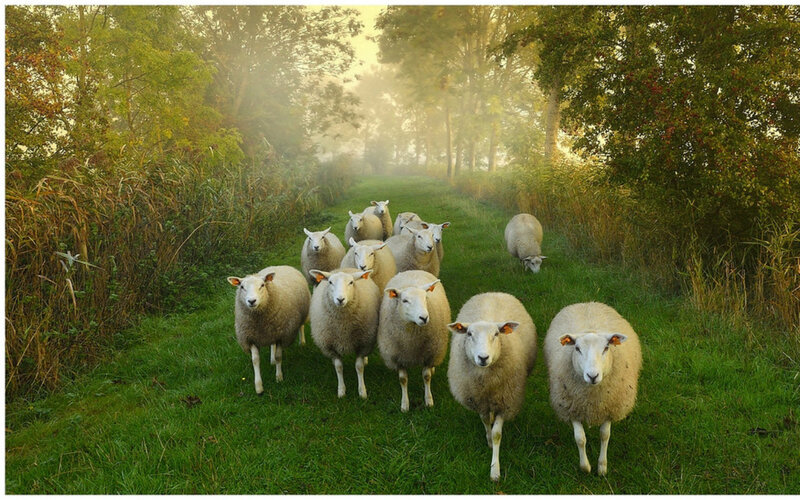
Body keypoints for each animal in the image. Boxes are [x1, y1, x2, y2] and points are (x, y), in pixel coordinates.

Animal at [226, 265, 310, 394]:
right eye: (242, 287)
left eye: (262, 285)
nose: (251, 301)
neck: (259, 321)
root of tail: (281, 266)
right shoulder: (250, 338)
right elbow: (255, 360)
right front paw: (259, 387)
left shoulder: (282, 335)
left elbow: (279, 357)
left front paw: (279, 377)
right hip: (271, 331)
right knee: (272, 344)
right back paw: (272, 359)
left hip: (302, 314)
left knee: (301, 326)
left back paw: (302, 343)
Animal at [308, 268, 381, 399]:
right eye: (330, 282)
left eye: (351, 282)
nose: (340, 299)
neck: (343, 329)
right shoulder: (331, 346)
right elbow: (338, 367)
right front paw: (341, 391)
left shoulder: (363, 343)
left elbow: (359, 367)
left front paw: (362, 391)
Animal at [377, 270, 451, 412]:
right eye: (405, 300)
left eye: (425, 298)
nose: (424, 317)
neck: (411, 342)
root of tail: (412, 270)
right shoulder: (397, 357)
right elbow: (403, 379)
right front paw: (405, 405)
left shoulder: (430, 353)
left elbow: (426, 376)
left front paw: (429, 400)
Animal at [446, 292, 537, 481]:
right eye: (469, 334)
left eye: (496, 334)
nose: (483, 357)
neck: (487, 383)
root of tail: (494, 292)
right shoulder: (479, 400)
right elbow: (485, 421)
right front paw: (488, 440)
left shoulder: (506, 401)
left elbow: (497, 433)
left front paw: (495, 470)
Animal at [543, 301, 642, 476]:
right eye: (577, 348)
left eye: (606, 348)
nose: (592, 375)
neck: (592, 398)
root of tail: (588, 302)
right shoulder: (571, 406)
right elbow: (580, 438)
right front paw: (585, 467)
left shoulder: (610, 407)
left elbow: (604, 435)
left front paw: (602, 467)